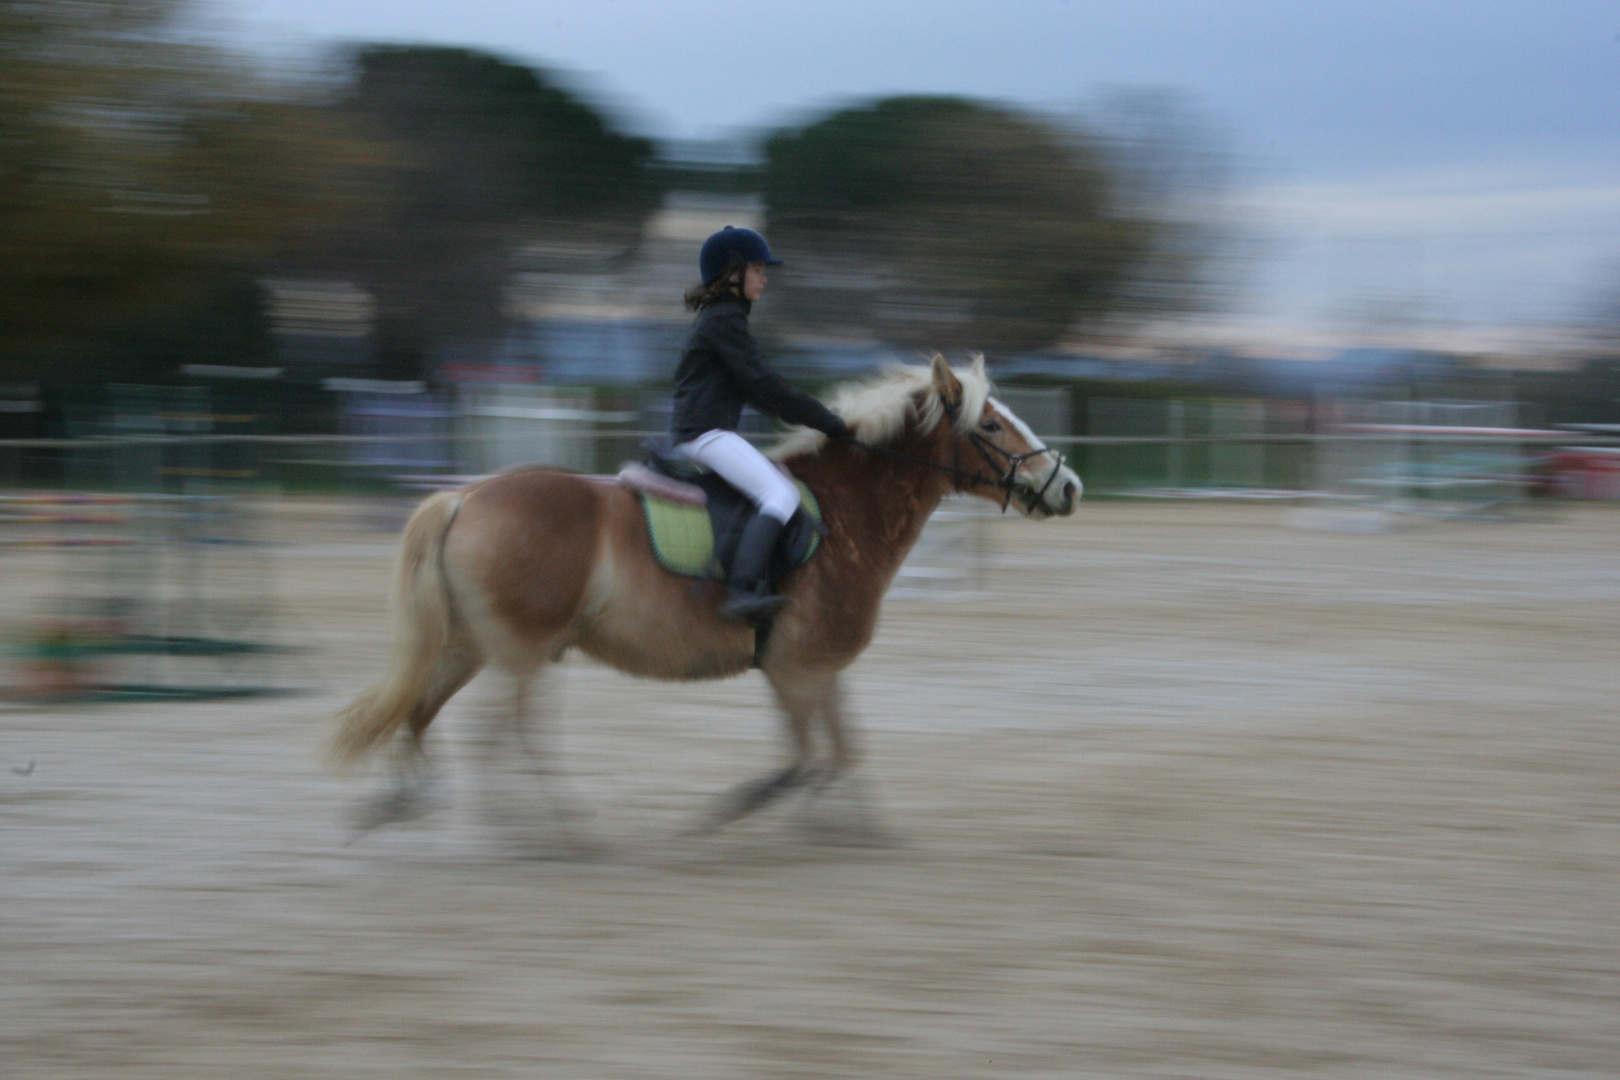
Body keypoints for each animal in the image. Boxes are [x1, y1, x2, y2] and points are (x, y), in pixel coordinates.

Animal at [332, 359, 1075, 841]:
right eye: (991, 425)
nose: (1068, 487)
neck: (846, 510)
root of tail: (466, 496)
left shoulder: (817, 668)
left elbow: (841, 750)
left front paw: (853, 829)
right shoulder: (797, 669)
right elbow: (809, 758)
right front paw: (749, 808)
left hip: (472, 645)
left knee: (423, 713)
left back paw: (406, 803)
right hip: (522, 649)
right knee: (504, 734)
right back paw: (548, 828)